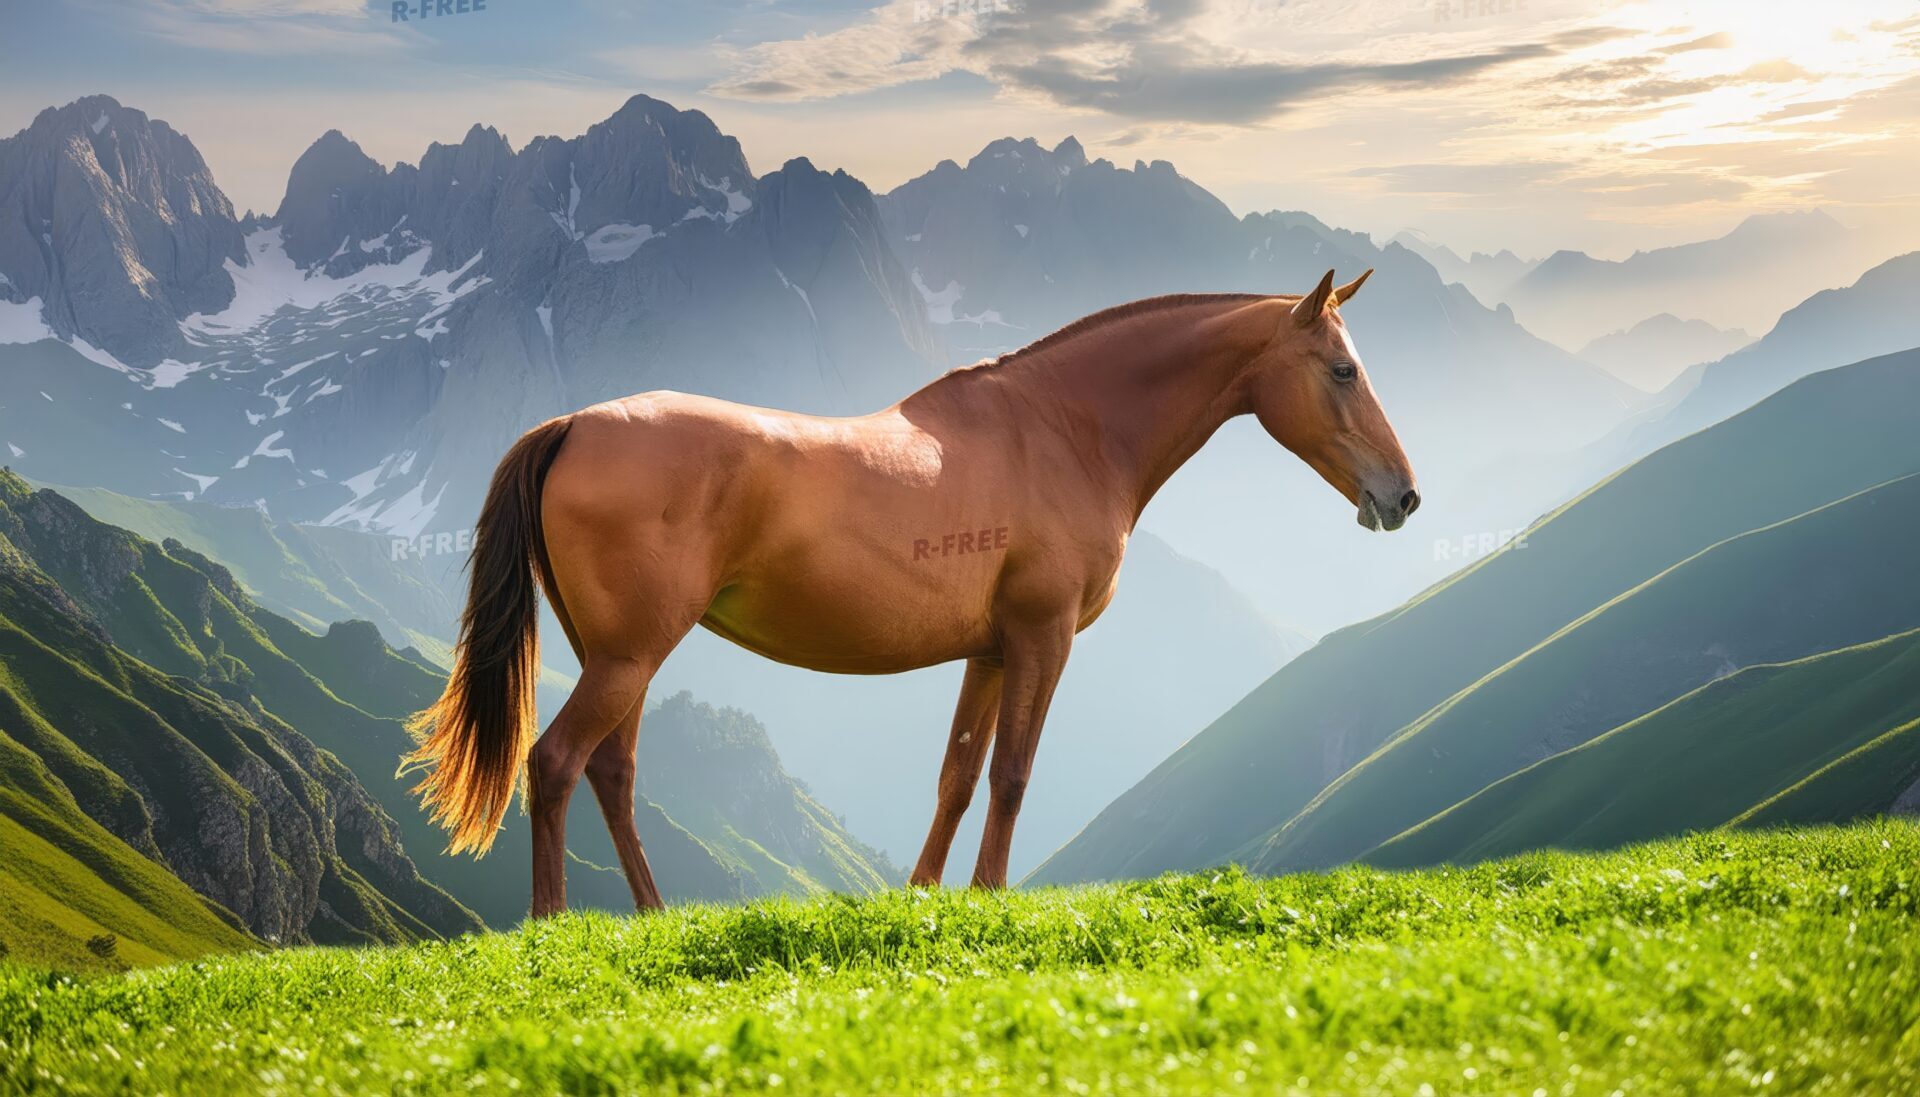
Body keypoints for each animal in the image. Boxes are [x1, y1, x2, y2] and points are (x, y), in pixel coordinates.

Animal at [403, 269, 1419, 917]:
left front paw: (928, 897)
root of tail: (573, 424)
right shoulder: (1044, 638)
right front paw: (988, 897)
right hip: (627, 656)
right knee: (554, 761)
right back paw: (551, 921)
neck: (1063, 428)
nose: (1403, 495)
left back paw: (654, 915)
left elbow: (958, 776)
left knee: (611, 771)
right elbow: (1012, 774)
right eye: (1343, 369)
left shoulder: (991, 650)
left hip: (622, 656)